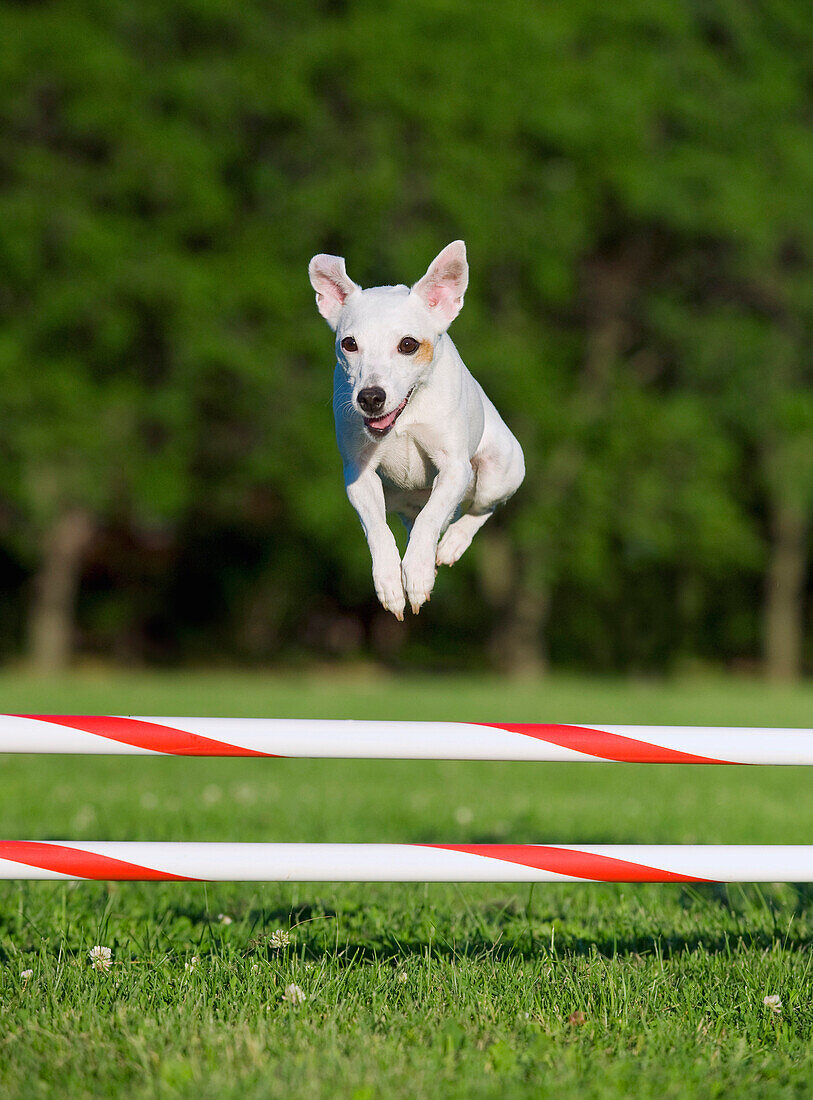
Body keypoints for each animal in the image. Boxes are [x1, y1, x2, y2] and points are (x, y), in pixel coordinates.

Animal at [308, 242, 523, 620]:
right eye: (349, 344)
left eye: (408, 345)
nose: (370, 397)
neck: (406, 415)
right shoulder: (358, 476)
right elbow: (378, 529)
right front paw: (391, 582)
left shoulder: (454, 468)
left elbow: (430, 519)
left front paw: (419, 574)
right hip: (396, 497)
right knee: (417, 519)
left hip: (497, 473)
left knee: (479, 510)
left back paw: (450, 545)